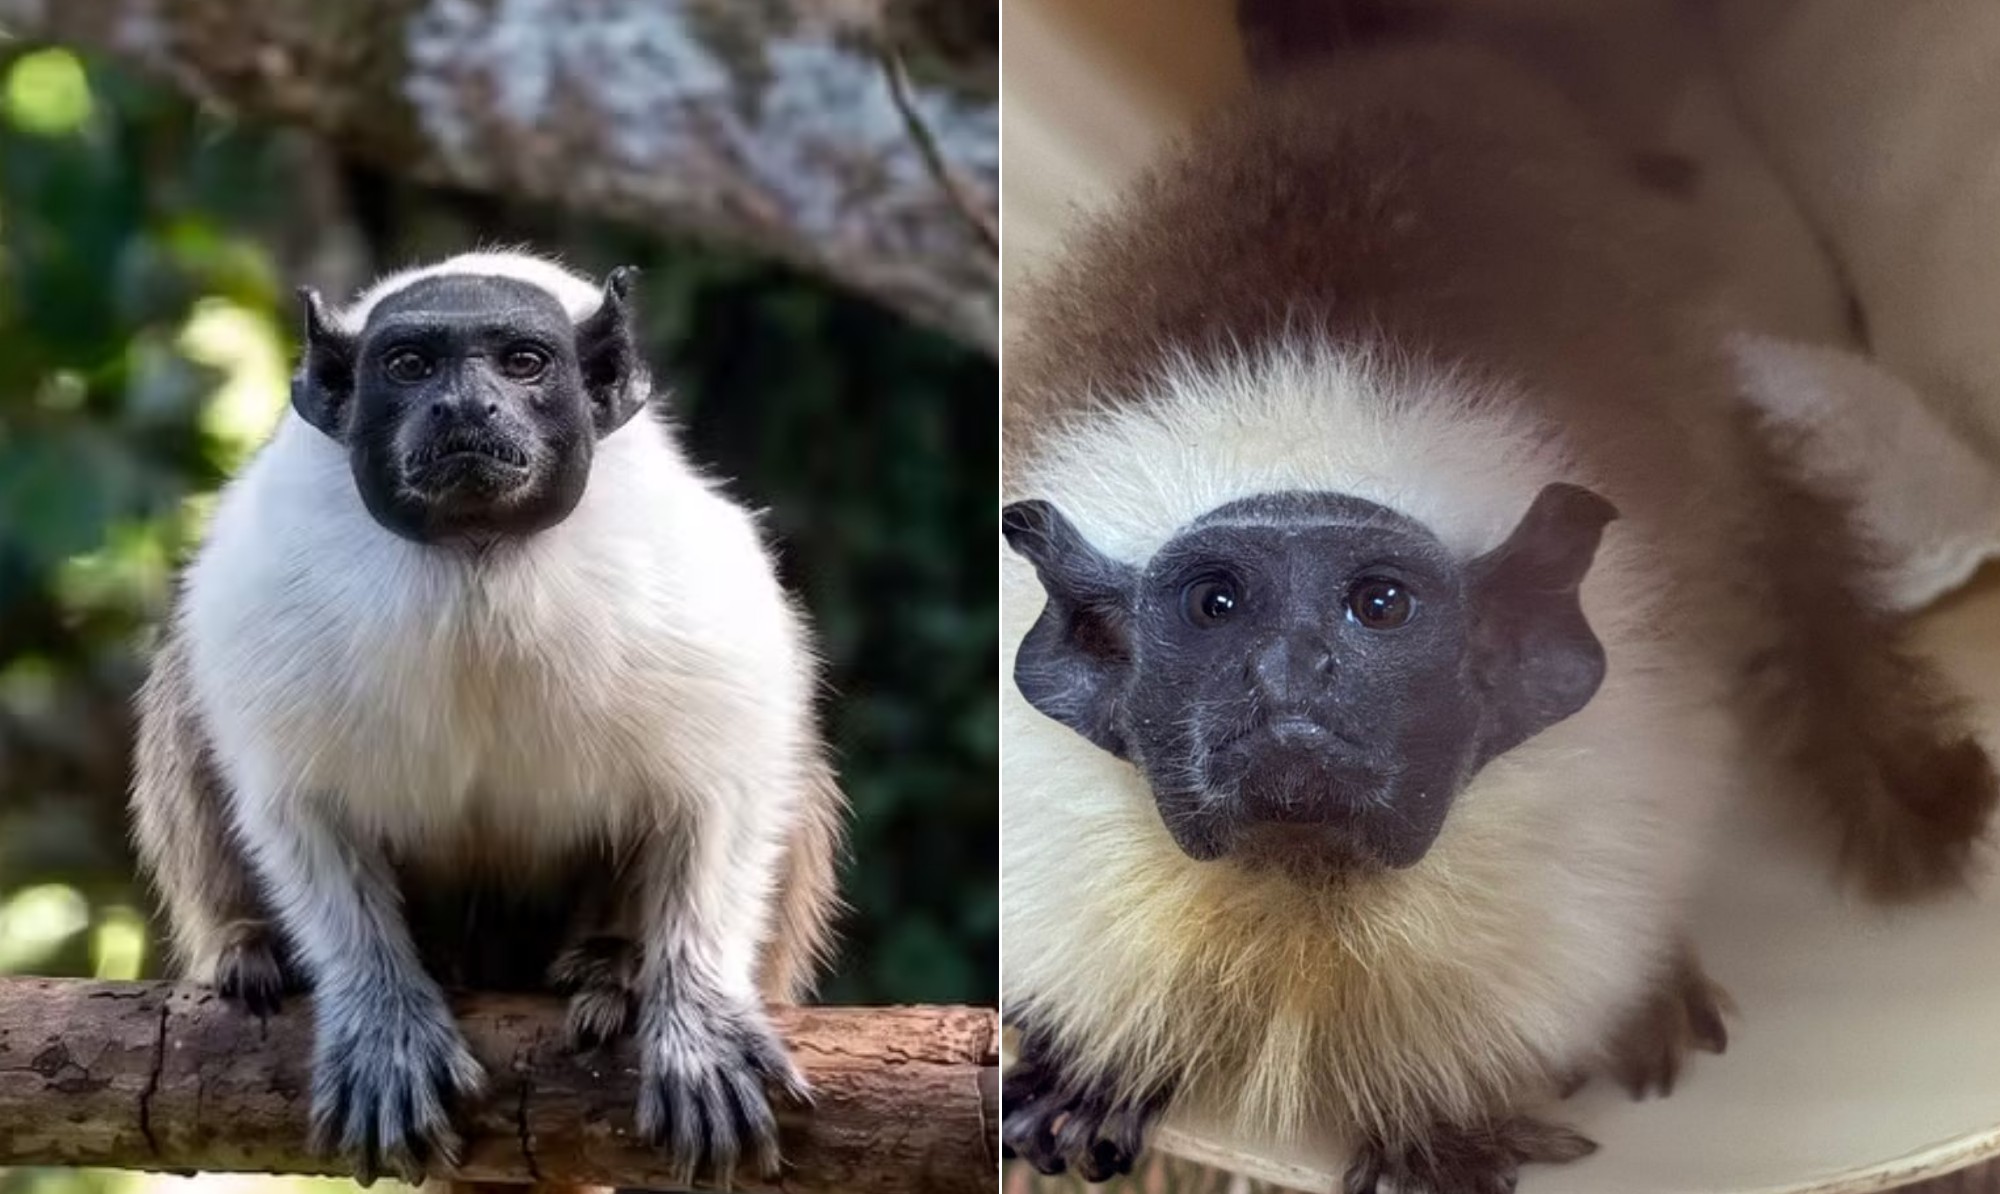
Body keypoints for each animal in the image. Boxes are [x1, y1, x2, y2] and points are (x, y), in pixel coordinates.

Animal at [129, 251, 847, 1188]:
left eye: (523, 364)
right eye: (410, 366)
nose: (465, 407)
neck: (477, 559)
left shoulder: (690, 580)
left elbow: (728, 789)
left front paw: (698, 1024)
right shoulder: (267, 585)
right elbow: (299, 815)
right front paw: (384, 1024)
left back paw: (614, 966)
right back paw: (252, 947)